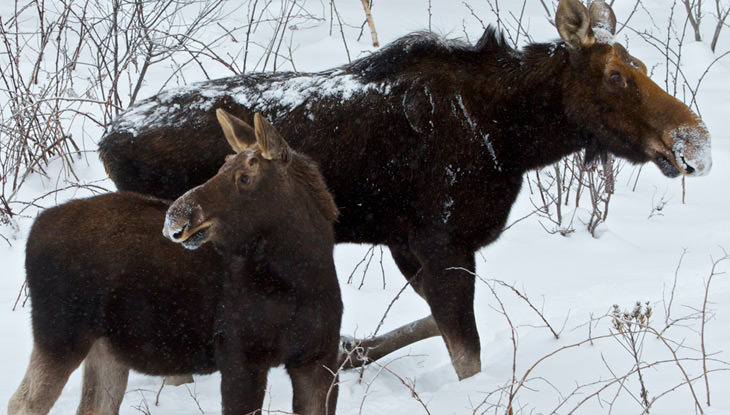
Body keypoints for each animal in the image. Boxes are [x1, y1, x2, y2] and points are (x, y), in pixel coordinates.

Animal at [9, 114, 342, 415]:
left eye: (245, 178)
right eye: (221, 166)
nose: (176, 217)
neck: (299, 280)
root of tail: (35, 230)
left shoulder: (319, 361)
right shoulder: (240, 358)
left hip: (104, 346)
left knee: (93, 406)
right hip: (61, 333)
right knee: (23, 402)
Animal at [96, 0, 712, 380]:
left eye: (641, 63)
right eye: (616, 76)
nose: (696, 142)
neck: (510, 138)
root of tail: (106, 142)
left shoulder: (405, 243)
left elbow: (434, 325)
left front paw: (352, 351)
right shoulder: (442, 239)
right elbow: (465, 352)